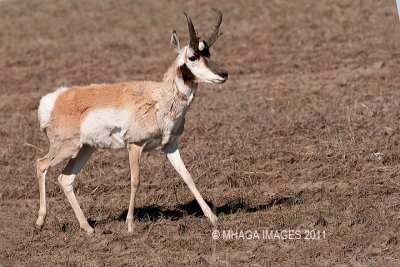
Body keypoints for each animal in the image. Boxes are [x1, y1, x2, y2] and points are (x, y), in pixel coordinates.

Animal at [35, 8, 227, 234]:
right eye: (193, 56)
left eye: (209, 53)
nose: (223, 74)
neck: (159, 97)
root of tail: (55, 99)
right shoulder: (134, 146)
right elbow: (135, 180)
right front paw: (130, 224)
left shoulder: (170, 146)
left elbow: (187, 176)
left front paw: (213, 218)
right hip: (68, 148)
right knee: (41, 164)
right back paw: (40, 222)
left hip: (85, 149)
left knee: (65, 179)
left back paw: (88, 228)